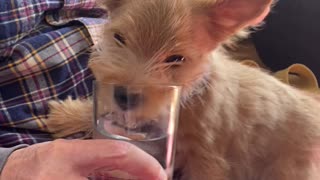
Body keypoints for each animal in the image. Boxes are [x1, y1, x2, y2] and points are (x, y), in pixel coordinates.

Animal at [45, 0, 320, 179]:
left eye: (176, 59)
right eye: (119, 38)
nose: (124, 96)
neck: (188, 95)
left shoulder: (206, 161)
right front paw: (67, 115)